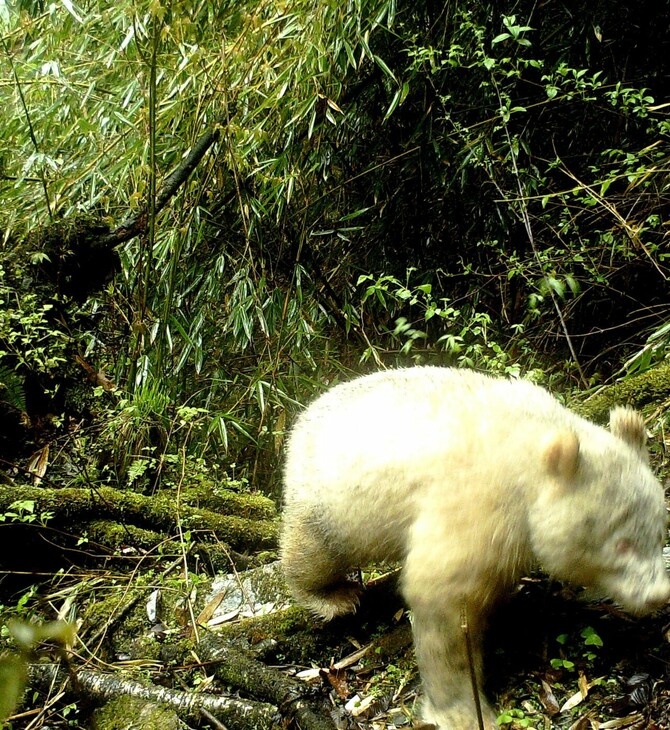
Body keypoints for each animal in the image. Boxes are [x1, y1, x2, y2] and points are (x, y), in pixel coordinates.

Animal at [282, 366, 670, 724]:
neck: (531, 451)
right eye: (622, 544)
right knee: (314, 550)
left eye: (660, 532)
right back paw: (332, 596)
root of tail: (303, 417)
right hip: (330, 499)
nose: (659, 594)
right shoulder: (479, 502)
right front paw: (461, 710)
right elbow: (443, 597)